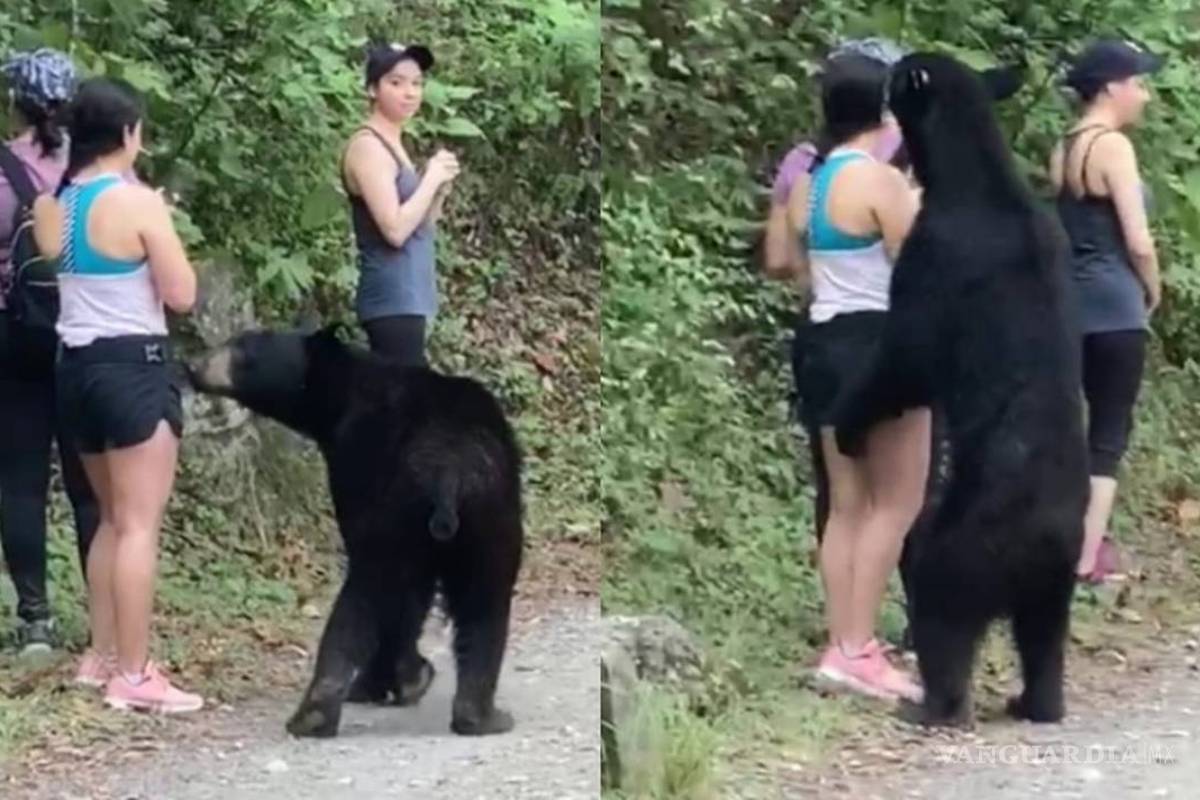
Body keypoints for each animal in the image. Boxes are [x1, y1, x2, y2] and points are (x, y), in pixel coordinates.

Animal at [188, 325, 524, 738]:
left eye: (242, 350)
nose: (193, 366)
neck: (344, 395)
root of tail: (446, 470)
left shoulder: (353, 470)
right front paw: (410, 676)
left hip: (431, 517)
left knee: (364, 601)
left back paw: (318, 711)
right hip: (474, 516)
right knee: (481, 601)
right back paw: (480, 714)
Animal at [832, 53, 1089, 727]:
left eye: (899, 73)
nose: (887, 70)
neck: (969, 176)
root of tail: (1040, 539)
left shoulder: (936, 255)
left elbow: (905, 356)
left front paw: (849, 422)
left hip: (968, 541)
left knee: (940, 598)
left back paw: (932, 705)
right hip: (1056, 579)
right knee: (1044, 638)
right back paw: (1037, 701)